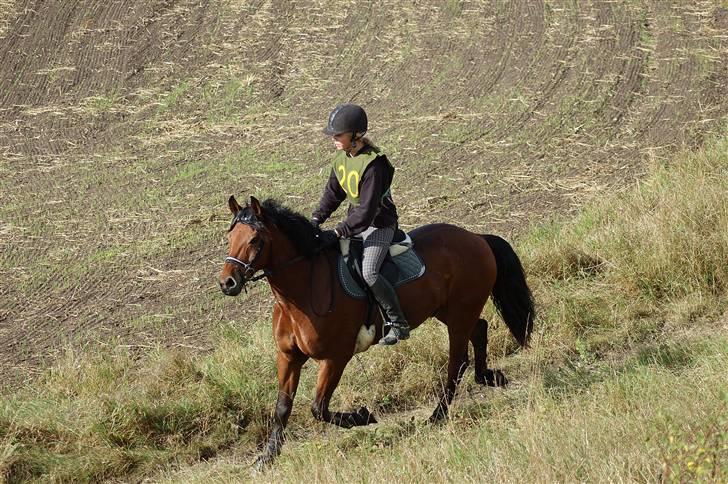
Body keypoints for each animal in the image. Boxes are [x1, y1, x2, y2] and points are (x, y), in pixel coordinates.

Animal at [218, 195, 536, 466]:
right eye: (230, 239)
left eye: (255, 239)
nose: (227, 283)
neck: (301, 292)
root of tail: (476, 238)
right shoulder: (288, 357)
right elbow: (282, 408)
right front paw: (267, 458)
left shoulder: (335, 359)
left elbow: (319, 408)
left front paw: (362, 416)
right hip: (451, 312)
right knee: (479, 329)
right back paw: (488, 377)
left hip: (459, 313)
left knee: (457, 363)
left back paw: (437, 415)